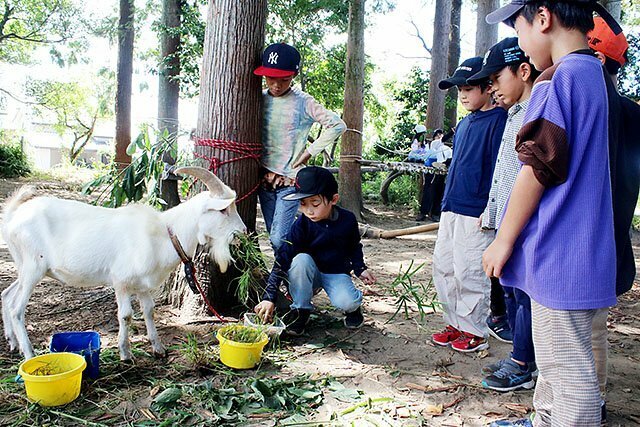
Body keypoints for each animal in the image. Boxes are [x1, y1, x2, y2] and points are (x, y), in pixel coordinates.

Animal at [1, 167, 246, 362]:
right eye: (223, 209)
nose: (243, 231)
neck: (165, 234)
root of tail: (13, 215)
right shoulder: (121, 281)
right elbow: (126, 315)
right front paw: (125, 353)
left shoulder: (144, 285)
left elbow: (149, 311)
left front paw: (158, 348)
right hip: (34, 267)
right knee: (17, 309)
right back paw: (29, 354)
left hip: (25, 266)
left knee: (7, 294)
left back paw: (12, 342)